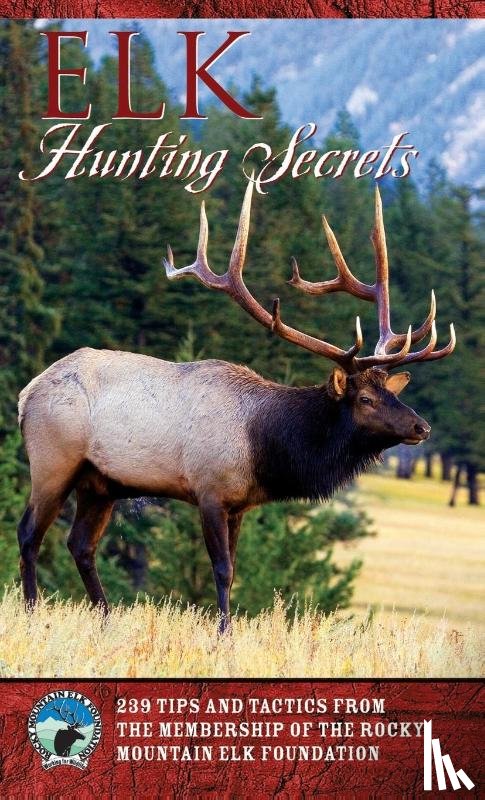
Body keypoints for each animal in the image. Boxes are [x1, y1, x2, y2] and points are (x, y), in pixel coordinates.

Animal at [17, 184, 455, 632]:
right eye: (365, 399)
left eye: (392, 394)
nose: (422, 427)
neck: (265, 446)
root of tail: (27, 393)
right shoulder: (209, 489)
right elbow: (223, 569)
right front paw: (223, 631)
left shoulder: (240, 502)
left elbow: (236, 567)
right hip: (54, 461)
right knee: (30, 533)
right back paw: (32, 611)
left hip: (100, 483)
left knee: (80, 544)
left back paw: (106, 618)